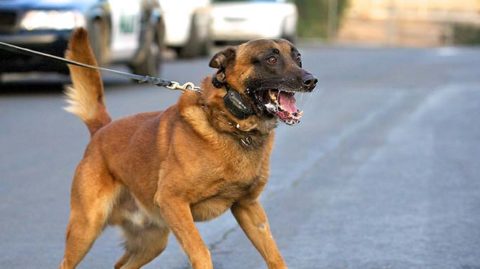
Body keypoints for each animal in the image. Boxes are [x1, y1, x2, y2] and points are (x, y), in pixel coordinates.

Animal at [59, 27, 316, 268]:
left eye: (298, 59)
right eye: (271, 59)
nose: (311, 81)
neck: (231, 125)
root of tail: (101, 130)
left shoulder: (248, 208)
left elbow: (274, 255)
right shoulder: (173, 202)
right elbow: (201, 251)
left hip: (153, 240)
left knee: (121, 264)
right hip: (87, 227)